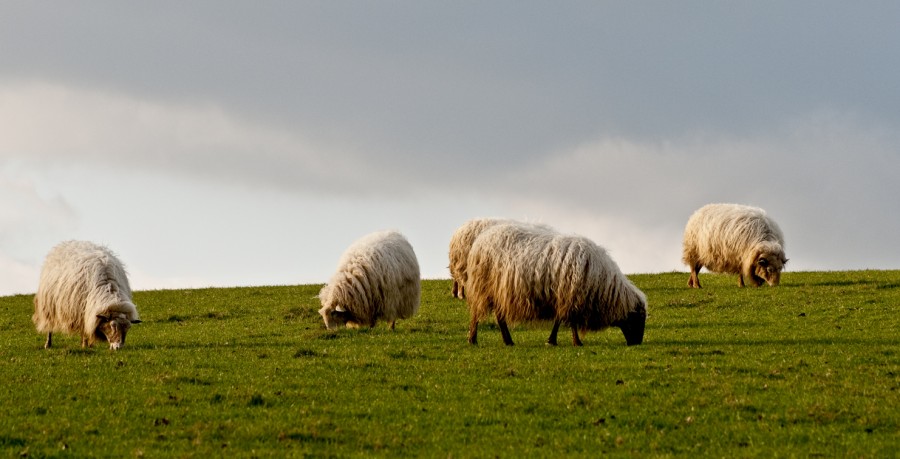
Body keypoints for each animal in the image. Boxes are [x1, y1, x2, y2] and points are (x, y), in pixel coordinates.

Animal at [464, 224, 648, 348]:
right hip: (483, 287)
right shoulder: (571, 296)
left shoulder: (564, 297)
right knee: (476, 314)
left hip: (497, 291)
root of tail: (482, 238)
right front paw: (575, 342)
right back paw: (473, 339)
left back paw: (508, 341)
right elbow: (570, 321)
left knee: (499, 317)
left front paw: (552, 340)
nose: (637, 343)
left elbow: (559, 320)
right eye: (638, 319)